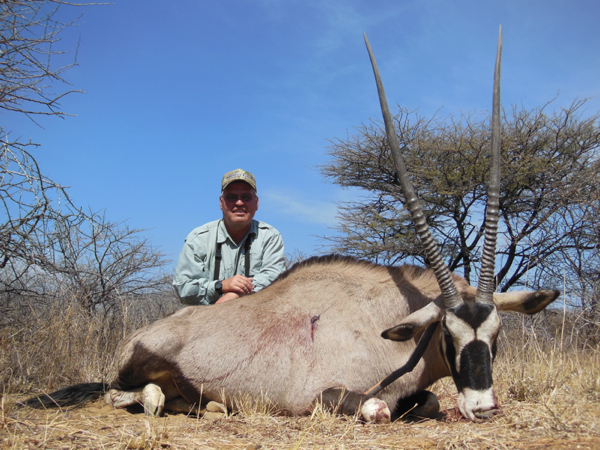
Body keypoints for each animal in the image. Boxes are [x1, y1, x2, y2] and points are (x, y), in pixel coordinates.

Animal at [25, 29, 559, 422]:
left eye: (496, 334)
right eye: (448, 334)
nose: (483, 407)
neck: (385, 318)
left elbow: (426, 401)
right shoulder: (324, 395)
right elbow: (377, 409)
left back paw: (213, 406)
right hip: (136, 372)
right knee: (136, 395)